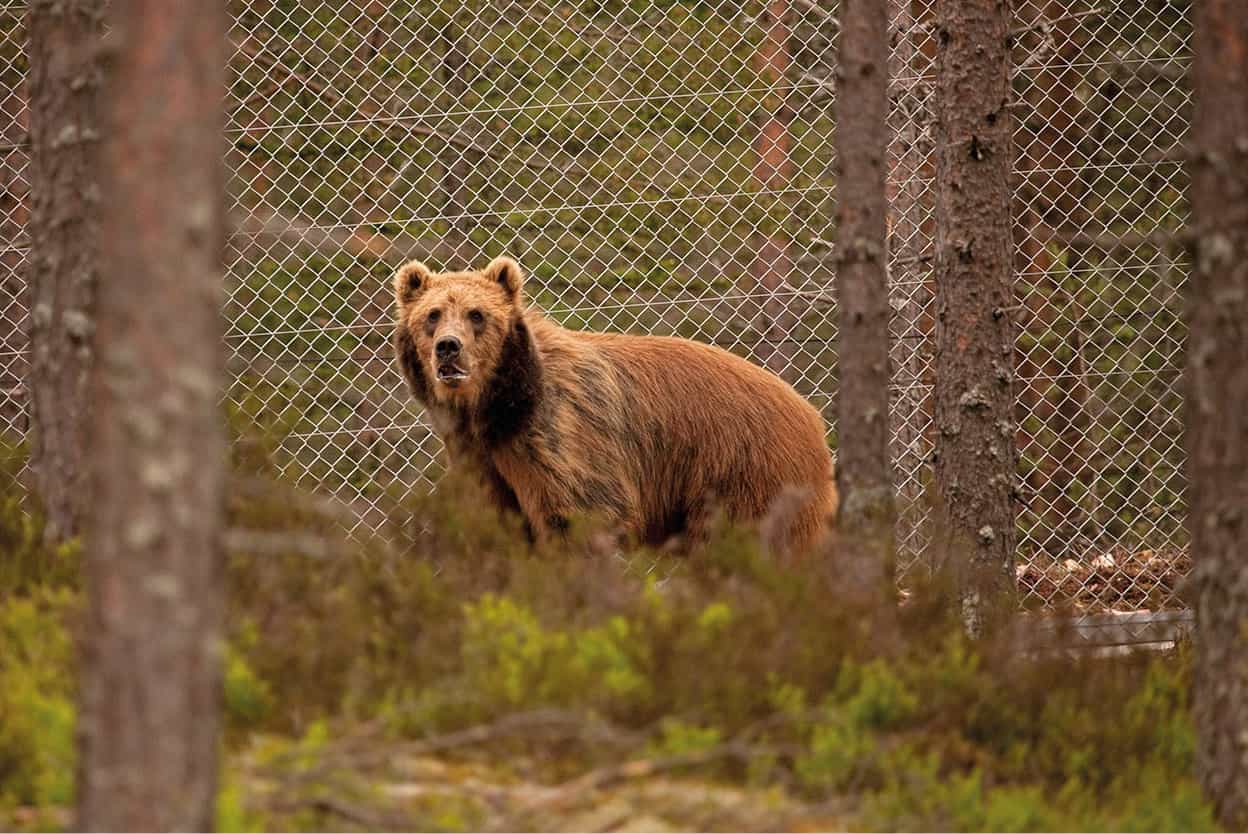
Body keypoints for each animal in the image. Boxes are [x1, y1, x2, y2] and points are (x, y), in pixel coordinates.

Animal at [389, 254, 838, 554]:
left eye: (477, 314)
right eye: (432, 315)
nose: (449, 348)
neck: (499, 409)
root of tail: (811, 415)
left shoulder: (561, 436)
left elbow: (581, 514)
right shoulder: (482, 457)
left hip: (747, 469)